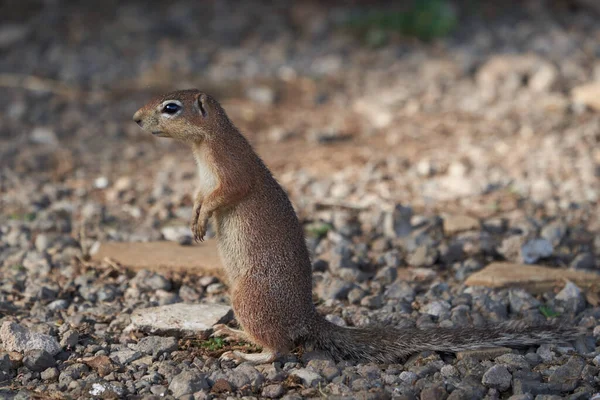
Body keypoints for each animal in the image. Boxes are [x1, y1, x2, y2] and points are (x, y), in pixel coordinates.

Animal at [134, 89, 584, 364]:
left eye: (171, 107)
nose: (135, 118)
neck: (202, 148)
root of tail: (307, 316)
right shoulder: (201, 182)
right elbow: (198, 198)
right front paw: (193, 219)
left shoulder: (232, 171)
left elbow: (224, 195)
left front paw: (201, 221)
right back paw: (236, 335)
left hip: (247, 297)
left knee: (281, 349)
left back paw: (248, 353)